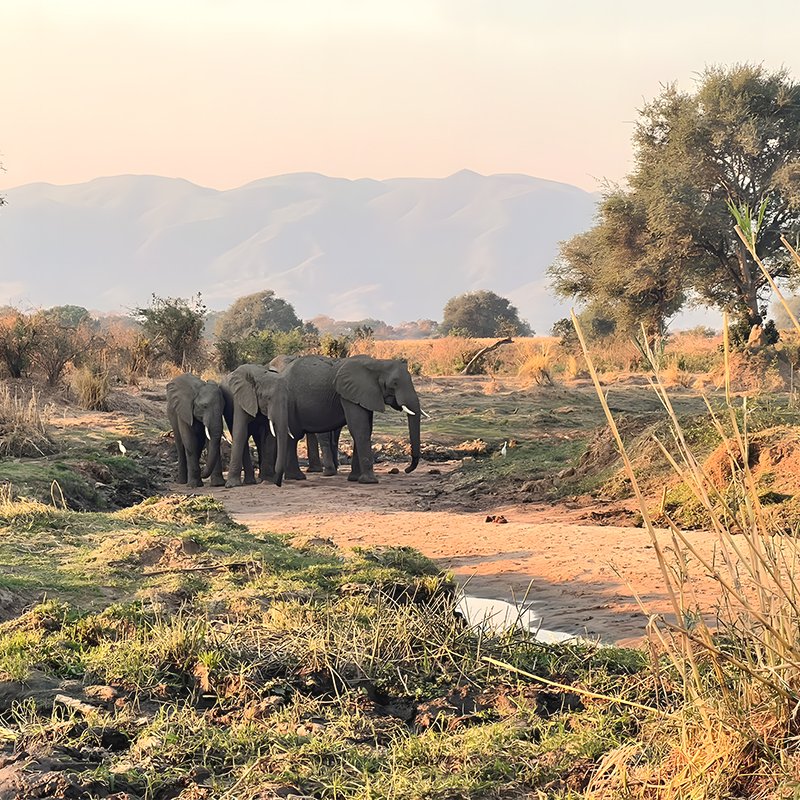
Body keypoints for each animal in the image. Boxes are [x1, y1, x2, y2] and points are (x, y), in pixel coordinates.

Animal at [280, 355, 423, 483]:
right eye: (394, 383)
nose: (407, 470)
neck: (377, 363)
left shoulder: (364, 395)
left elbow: (365, 429)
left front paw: (354, 479)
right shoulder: (349, 394)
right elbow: (360, 429)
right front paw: (369, 481)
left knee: (292, 437)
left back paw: (295, 477)